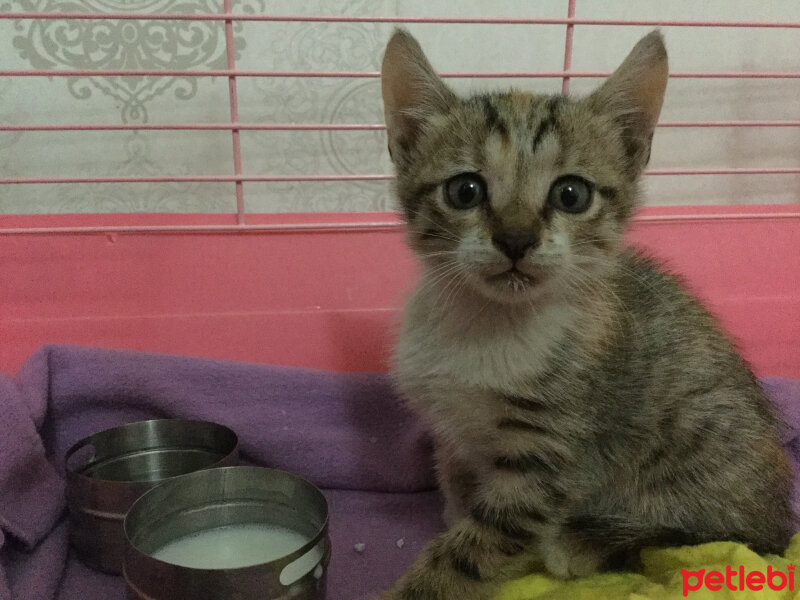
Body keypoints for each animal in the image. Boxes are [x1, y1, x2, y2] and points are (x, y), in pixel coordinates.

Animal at [382, 28, 792, 600]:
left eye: (571, 194)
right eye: (465, 190)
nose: (516, 238)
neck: (490, 325)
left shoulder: (553, 456)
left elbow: (476, 546)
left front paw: (428, 583)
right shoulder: (452, 430)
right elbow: (460, 489)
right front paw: (454, 511)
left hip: (695, 436)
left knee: (731, 534)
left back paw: (587, 541)